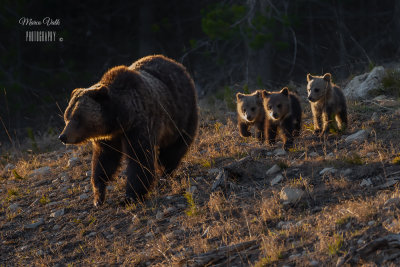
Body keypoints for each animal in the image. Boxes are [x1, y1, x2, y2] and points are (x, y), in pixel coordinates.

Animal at [59, 55, 198, 207]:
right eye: (66, 117)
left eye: (77, 117)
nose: (63, 136)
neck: (119, 119)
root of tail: (176, 64)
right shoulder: (108, 138)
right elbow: (103, 161)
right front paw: (98, 196)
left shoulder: (138, 125)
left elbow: (139, 159)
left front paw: (130, 197)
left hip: (181, 114)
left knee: (174, 148)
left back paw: (165, 173)